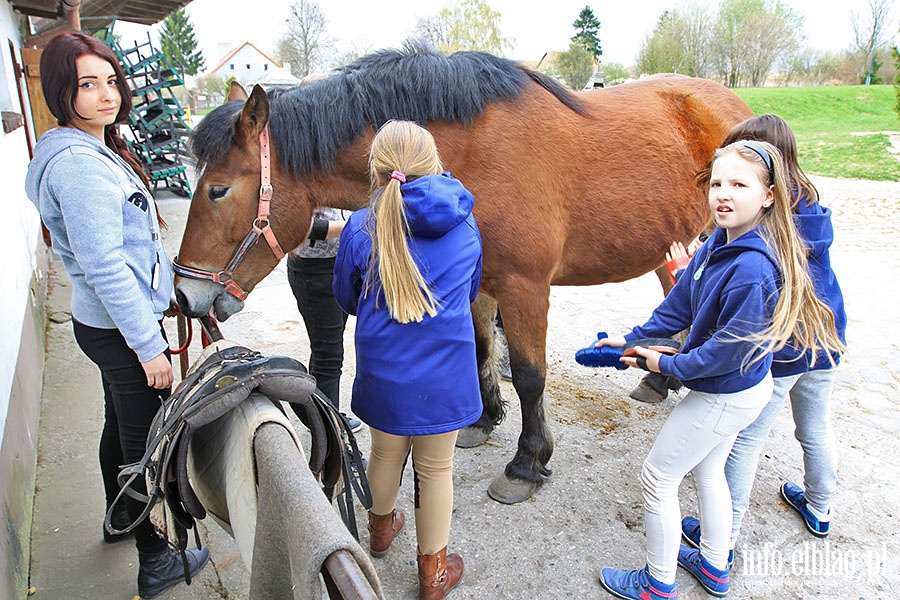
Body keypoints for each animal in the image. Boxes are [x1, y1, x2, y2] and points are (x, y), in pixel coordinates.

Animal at [176, 43, 752, 502]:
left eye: (218, 189)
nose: (184, 295)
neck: (471, 153)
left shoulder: (524, 288)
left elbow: (529, 375)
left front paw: (527, 463)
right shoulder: (483, 284)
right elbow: (480, 349)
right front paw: (483, 420)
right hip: (677, 246)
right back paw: (658, 380)